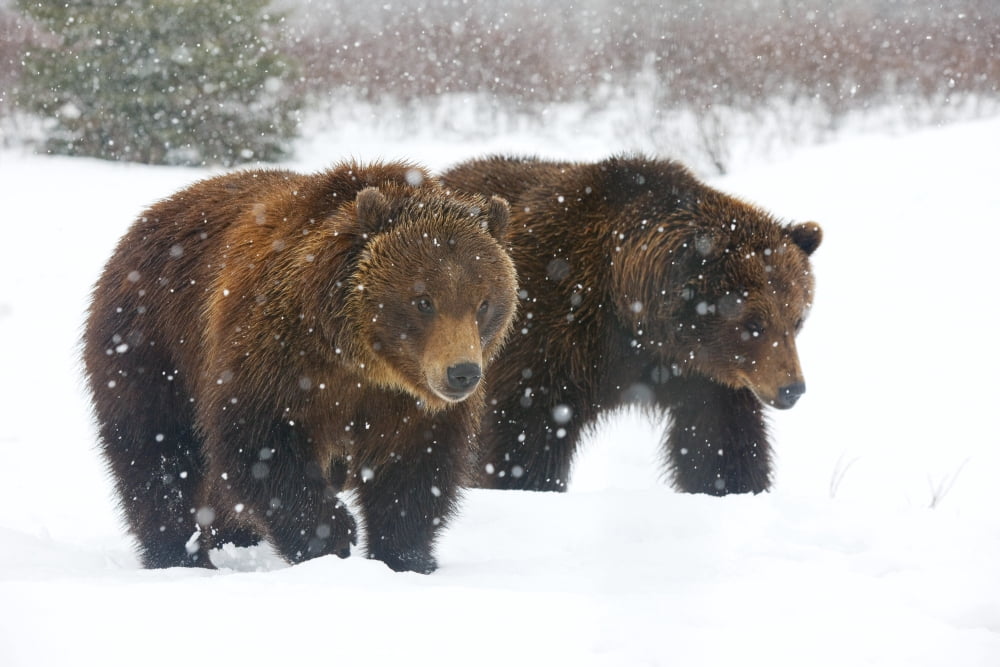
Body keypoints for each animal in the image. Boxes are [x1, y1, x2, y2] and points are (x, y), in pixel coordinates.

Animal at [83, 161, 518, 573]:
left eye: (483, 303)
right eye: (423, 301)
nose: (462, 372)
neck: (359, 356)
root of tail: (151, 214)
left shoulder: (405, 403)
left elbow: (414, 472)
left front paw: (405, 558)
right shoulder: (277, 354)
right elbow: (260, 444)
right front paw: (332, 536)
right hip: (154, 340)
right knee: (158, 450)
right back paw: (179, 556)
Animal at [441, 155, 822, 495]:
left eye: (796, 320)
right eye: (753, 323)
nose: (792, 388)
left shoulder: (700, 376)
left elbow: (721, 439)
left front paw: (736, 487)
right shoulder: (551, 332)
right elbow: (526, 433)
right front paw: (525, 485)